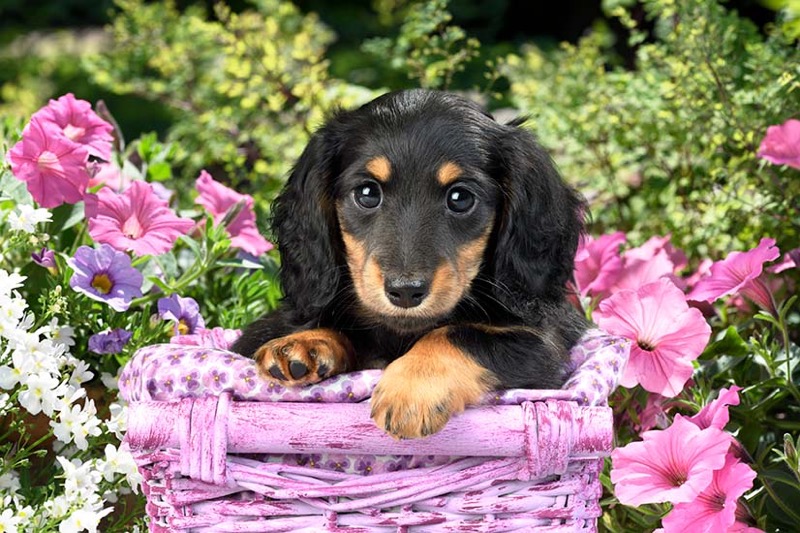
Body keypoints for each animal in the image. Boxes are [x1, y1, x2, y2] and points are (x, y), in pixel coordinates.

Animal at [231, 89, 588, 438]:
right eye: (367, 193)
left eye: (461, 198)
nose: (405, 292)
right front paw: (302, 342)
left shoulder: (544, 343)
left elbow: (457, 333)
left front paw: (413, 388)